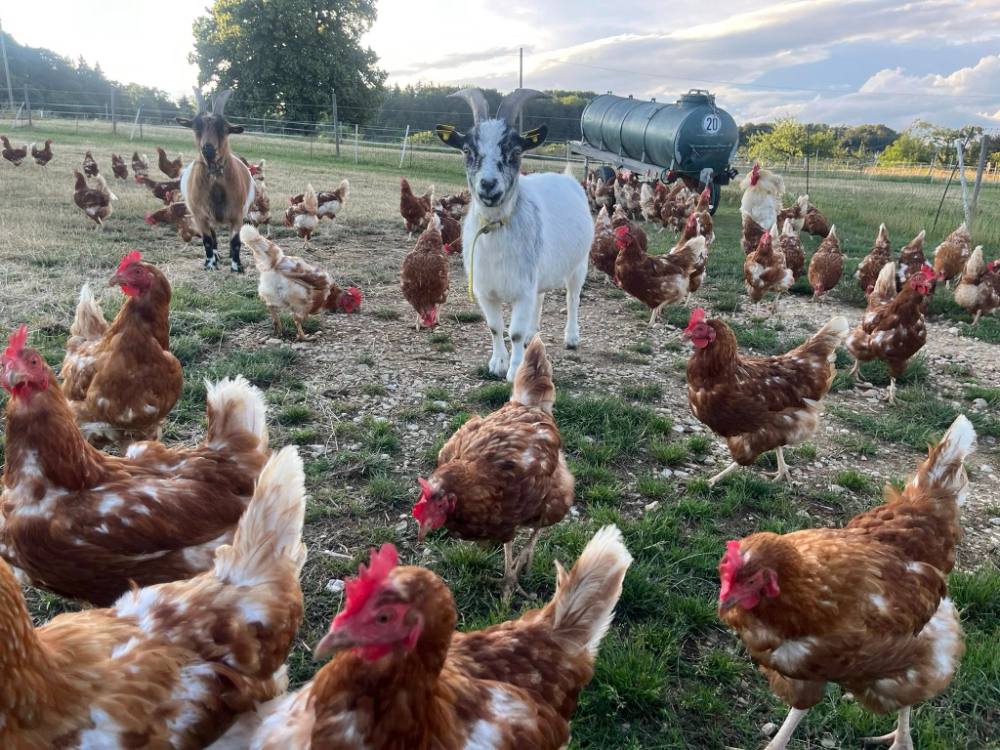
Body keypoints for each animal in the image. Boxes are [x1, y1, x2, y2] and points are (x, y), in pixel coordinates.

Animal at [176, 89, 255, 272]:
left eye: (224, 129)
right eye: (196, 127)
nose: (208, 149)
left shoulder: (237, 215)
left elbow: (235, 242)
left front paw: (237, 267)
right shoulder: (200, 216)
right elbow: (207, 241)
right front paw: (210, 264)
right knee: (213, 237)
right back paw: (215, 257)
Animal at [436, 88, 593, 381]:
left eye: (516, 150)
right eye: (467, 150)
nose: (488, 184)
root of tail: (567, 178)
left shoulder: (522, 291)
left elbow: (515, 332)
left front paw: (515, 368)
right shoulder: (487, 291)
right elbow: (495, 327)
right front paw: (497, 363)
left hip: (580, 264)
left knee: (572, 298)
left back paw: (571, 337)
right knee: (540, 298)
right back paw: (534, 334)